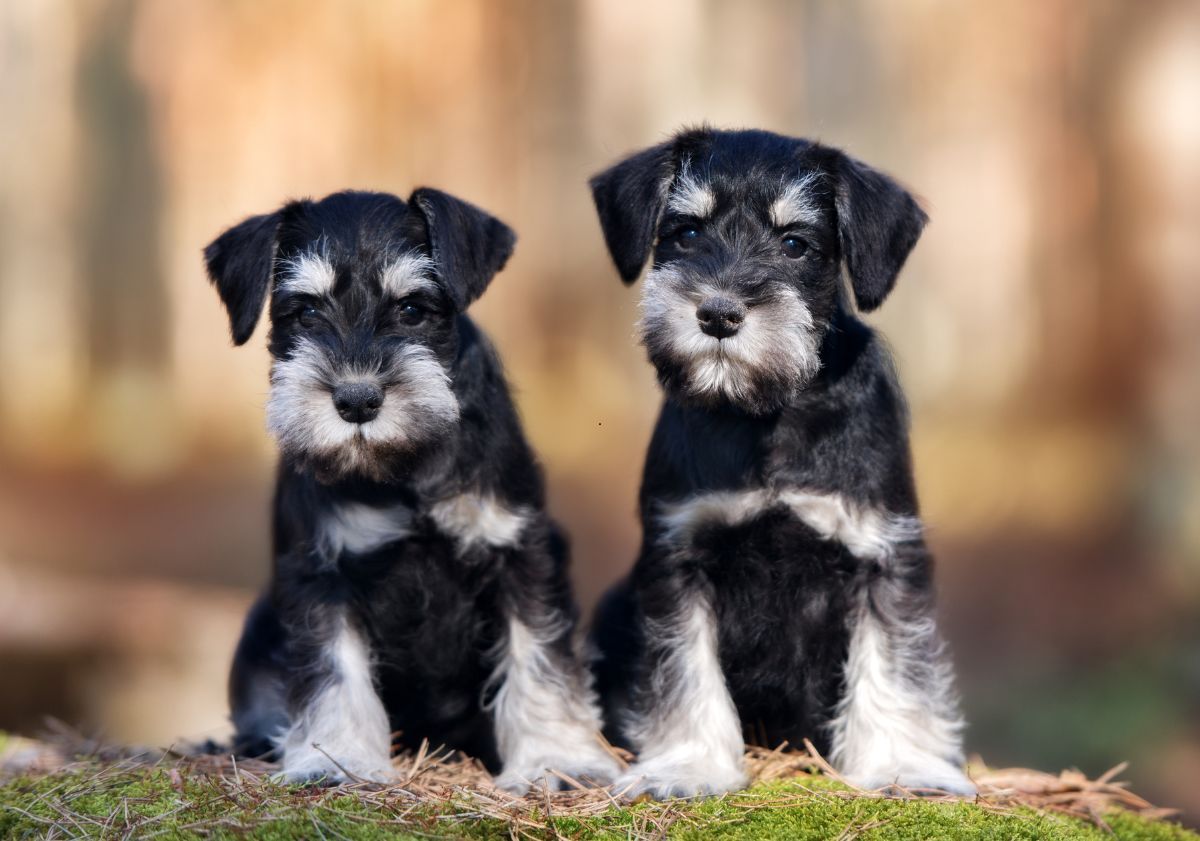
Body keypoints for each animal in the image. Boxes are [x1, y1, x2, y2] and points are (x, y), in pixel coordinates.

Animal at [204, 188, 619, 787]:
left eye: (411, 309)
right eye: (305, 312)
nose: (356, 400)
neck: (404, 471)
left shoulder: (522, 552)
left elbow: (538, 656)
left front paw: (558, 760)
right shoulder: (321, 573)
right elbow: (334, 670)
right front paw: (338, 760)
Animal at [588, 127, 974, 796]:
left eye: (795, 243)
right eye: (686, 232)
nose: (718, 314)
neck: (768, 413)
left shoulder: (884, 554)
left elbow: (893, 665)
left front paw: (903, 765)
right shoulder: (677, 558)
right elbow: (684, 669)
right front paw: (688, 765)